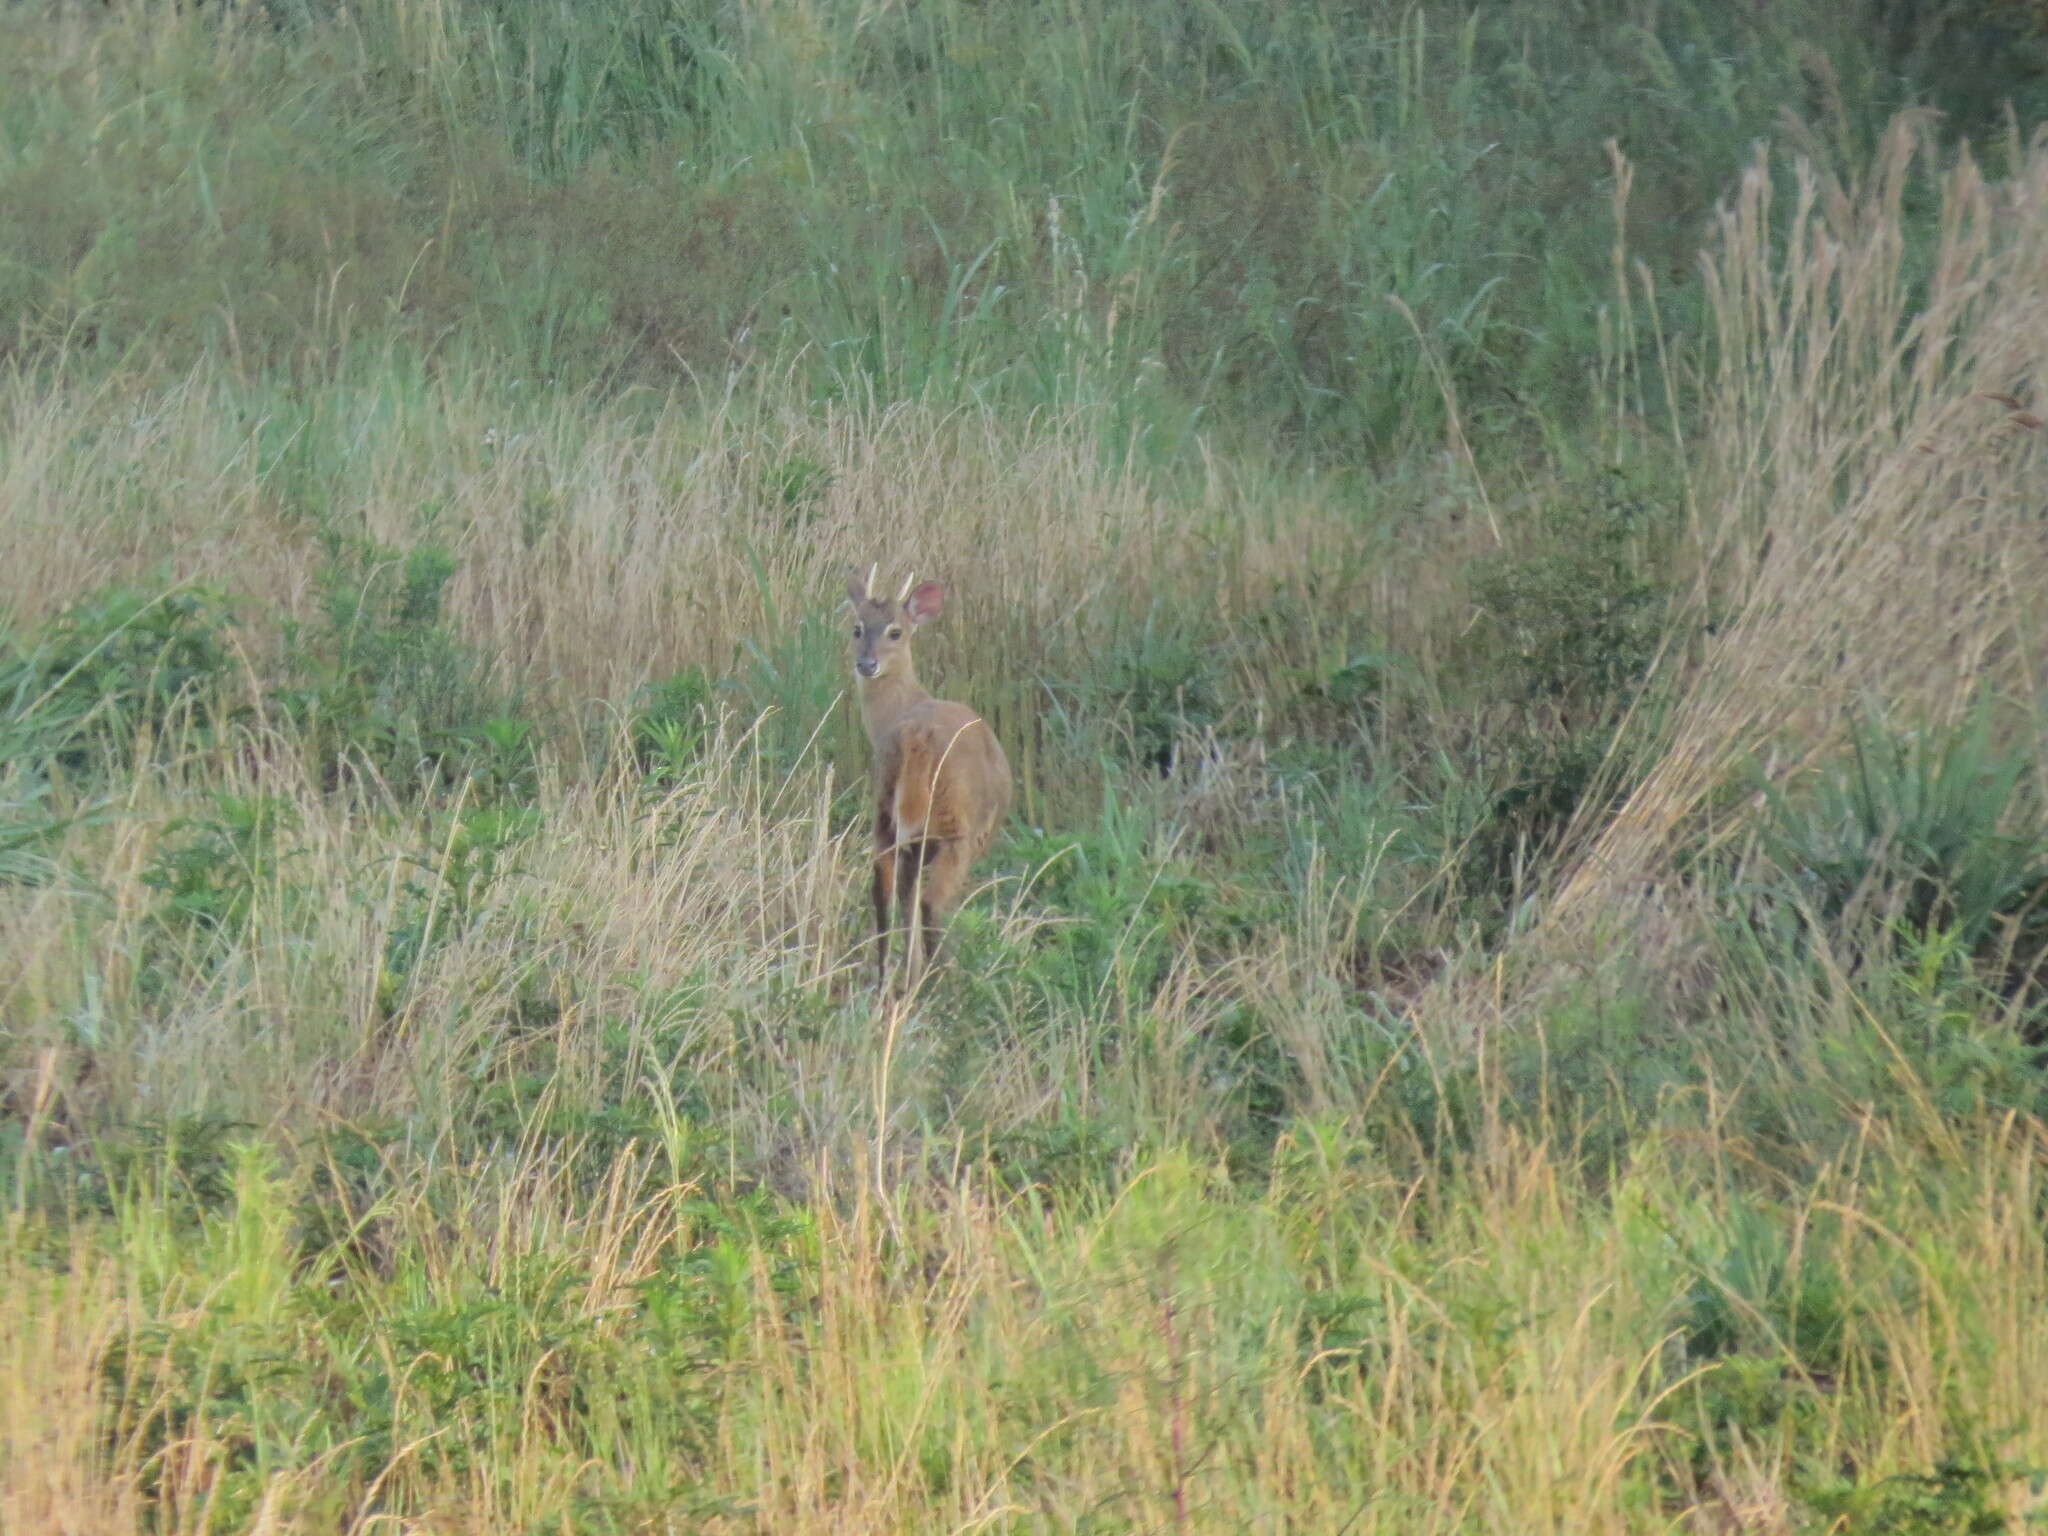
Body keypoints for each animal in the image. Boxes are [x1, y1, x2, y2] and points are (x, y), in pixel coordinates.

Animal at [843, 565, 1011, 987]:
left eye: (895, 631)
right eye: (857, 627)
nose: (866, 664)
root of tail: (916, 738)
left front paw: (909, 967)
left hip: (884, 811)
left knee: (882, 889)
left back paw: (889, 977)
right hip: (954, 827)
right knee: (931, 900)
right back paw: (944, 977)